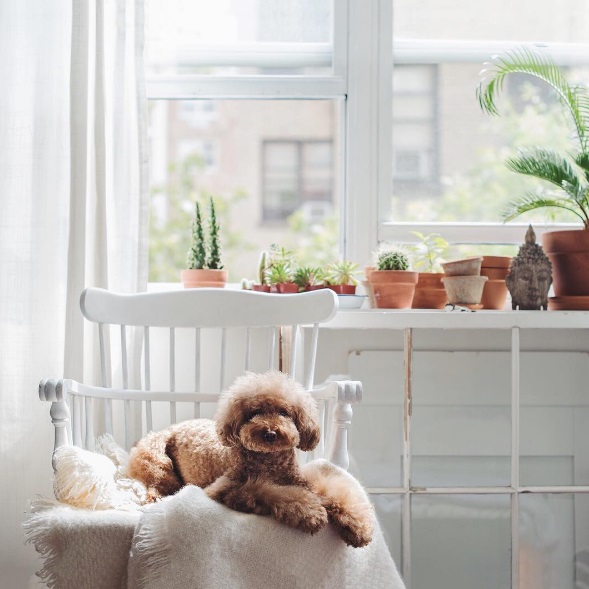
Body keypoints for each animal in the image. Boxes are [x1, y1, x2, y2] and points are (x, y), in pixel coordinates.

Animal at [129, 372, 374, 548]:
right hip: (157, 458)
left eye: (284, 412)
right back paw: (156, 497)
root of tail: (173, 427)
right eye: (255, 412)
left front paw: (357, 525)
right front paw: (310, 512)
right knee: (155, 484)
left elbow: (332, 488)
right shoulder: (222, 488)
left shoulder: (301, 480)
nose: (270, 433)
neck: (269, 461)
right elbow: (269, 491)